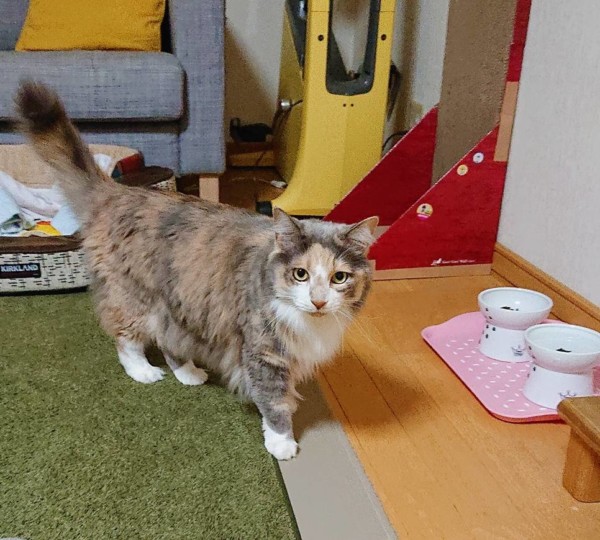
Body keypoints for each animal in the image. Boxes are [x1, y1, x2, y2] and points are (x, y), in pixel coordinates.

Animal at [16, 81, 378, 460]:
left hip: (179, 304)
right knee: (126, 340)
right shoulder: (263, 353)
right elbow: (274, 404)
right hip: (134, 298)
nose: (319, 301)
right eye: (301, 274)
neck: (309, 323)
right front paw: (282, 442)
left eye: (339, 278)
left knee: (169, 341)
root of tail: (119, 191)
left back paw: (189, 373)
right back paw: (144, 372)